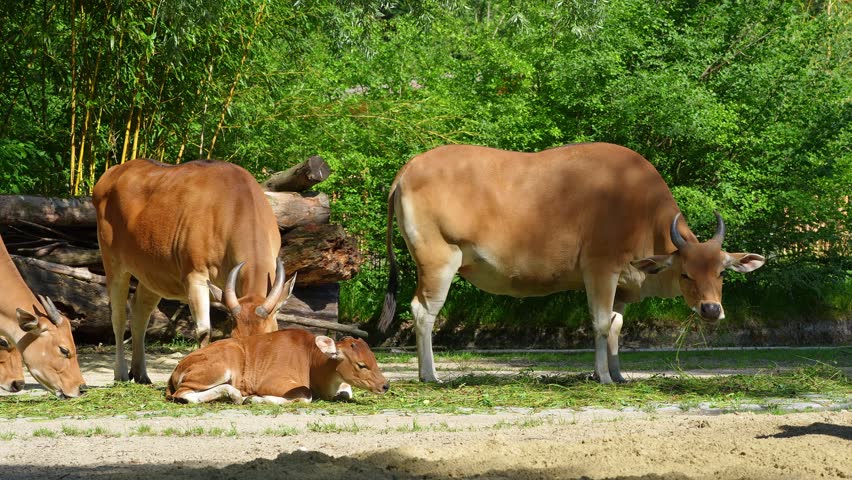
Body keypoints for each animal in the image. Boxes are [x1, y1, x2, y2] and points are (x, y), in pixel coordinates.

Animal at [93, 158, 293, 384]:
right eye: (237, 339)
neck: (233, 206)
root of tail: (110, 174)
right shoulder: (195, 276)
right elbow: (204, 331)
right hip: (114, 264)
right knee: (118, 315)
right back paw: (120, 373)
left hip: (151, 277)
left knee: (139, 312)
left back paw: (141, 373)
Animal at [166, 328, 390, 404]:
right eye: (362, 365)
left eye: (374, 359)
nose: (385, 385)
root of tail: (176, 369)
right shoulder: (272, 382)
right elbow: (305, 395)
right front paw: (255, 398)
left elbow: (346, 391)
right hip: (223, 364)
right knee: (184, 394)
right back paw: (238, 395)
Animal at [378, 143, 766, 384]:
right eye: (686, 274)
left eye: (721, 273)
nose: (711, 309)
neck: (638, 209)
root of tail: (409, 168)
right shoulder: (600, 270)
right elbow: (600, 323)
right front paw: (604, 376)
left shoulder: (622, 284)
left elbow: (616, 325)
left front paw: (618, 374)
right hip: (439, 261)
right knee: (423, 311)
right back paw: (430, 375)